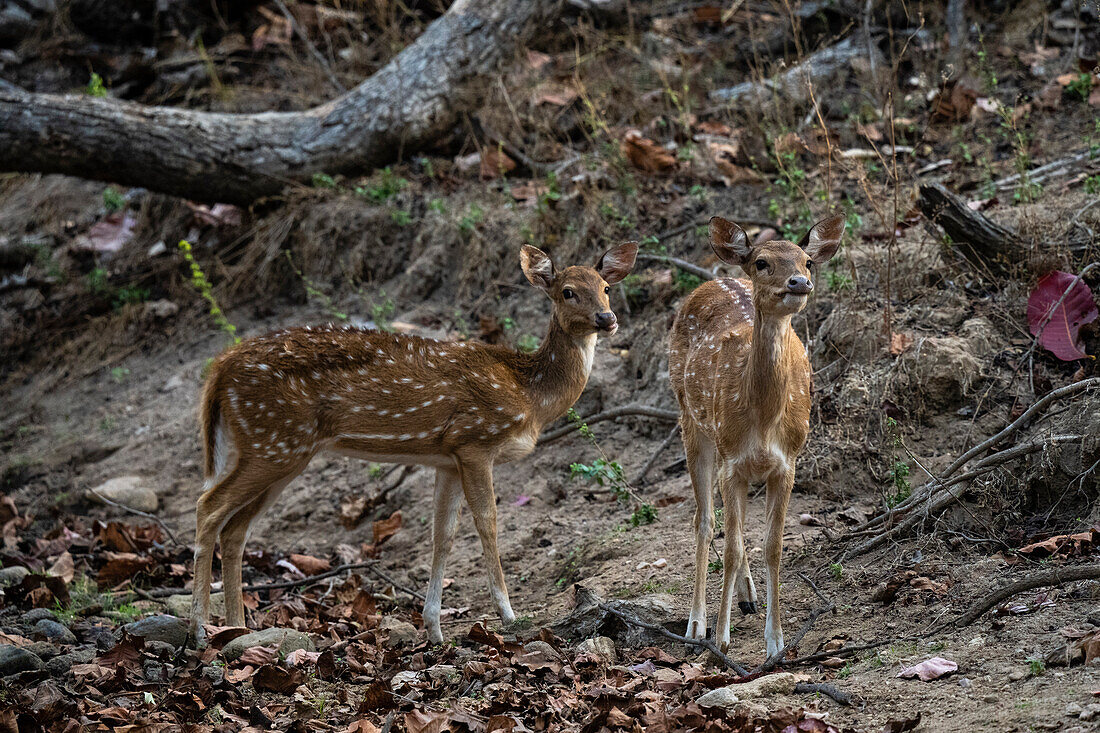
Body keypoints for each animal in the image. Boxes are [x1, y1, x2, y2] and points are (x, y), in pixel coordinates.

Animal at [189, 239, 638, 638]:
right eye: (567, 291)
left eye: (606, 287)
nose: (607, 318)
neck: (528, 394)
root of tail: (219, 370)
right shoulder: (475, 440)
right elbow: (488, 523)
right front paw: (509, 614)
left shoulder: (447, 458)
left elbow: (443, 535)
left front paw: (434, 628)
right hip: (273, 439)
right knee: (208, 507)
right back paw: (199, 631)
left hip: (278, 449)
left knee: (235, 528)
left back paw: (237, 629)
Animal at [664, 214, 844, 651]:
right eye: (762, 262)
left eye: (807, 261)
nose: (799, 282)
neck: (763, 421)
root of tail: (717, 279)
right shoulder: (733, 462)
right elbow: (729, 547)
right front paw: (721, 637)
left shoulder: (787, 463)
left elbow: (773, 547)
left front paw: (776, 641)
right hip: (690, 418)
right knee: (704, 520)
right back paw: (696, 624)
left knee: (735, 527)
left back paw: (748, 597)